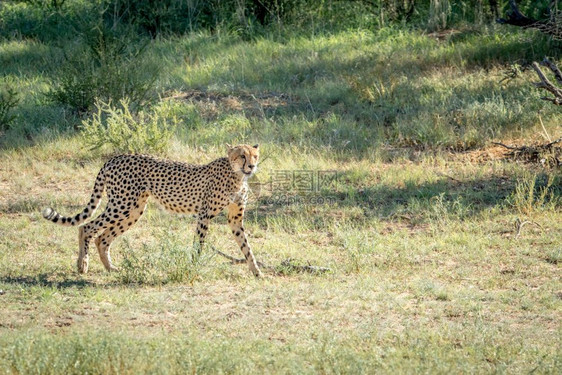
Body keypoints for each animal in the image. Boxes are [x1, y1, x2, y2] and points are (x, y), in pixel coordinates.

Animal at [43, 145, 262, 278]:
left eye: (254, 156)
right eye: (242, 156)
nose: (251, 166)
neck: (237, 176)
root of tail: (114, 158)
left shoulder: (235, 219)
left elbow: (246, 246)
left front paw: (257, 272)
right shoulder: (204, 214)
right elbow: (198, 245)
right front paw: (194, 265)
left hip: (134, 210)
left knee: (102, 237)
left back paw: (110, 268)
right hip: (122, 204)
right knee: (86, 227)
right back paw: (82, 265)